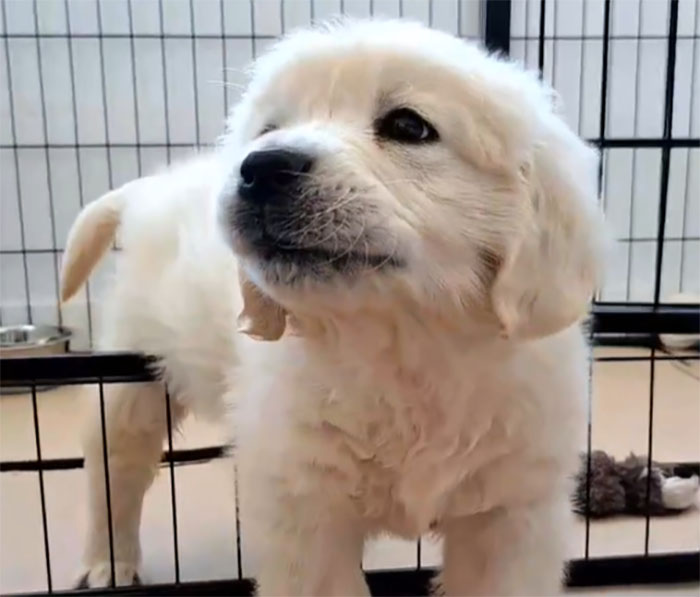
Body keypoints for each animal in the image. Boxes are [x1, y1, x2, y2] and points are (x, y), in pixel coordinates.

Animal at [61, 19, 608, 596]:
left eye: (409, 126)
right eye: (268, 129)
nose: (261, 166)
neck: (406, 348)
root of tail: (152, 189)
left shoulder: (512, 514)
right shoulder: (304, 510)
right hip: (127, 376)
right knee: (114, 469)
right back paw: (108, 563)